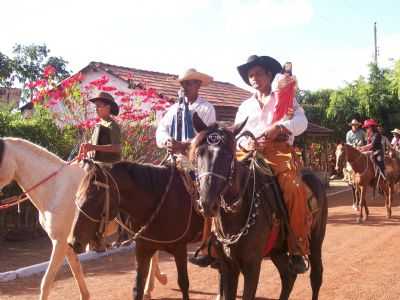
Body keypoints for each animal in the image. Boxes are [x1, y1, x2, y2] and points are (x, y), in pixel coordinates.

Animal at [68, 162, 203, 300]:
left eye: (93, 198)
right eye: (76, 196)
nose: (73, 242)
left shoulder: (179, 249)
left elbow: (183, 283)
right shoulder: (143, 249)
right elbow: (137, 288)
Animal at [191, 117, 328, 300]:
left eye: (228, 155)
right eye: (198, 154)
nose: (207, 203)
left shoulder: (252, 265)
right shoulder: (228, 266)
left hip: (316, 241)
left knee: (316, 276)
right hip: (277, 250)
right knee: (288, 276)